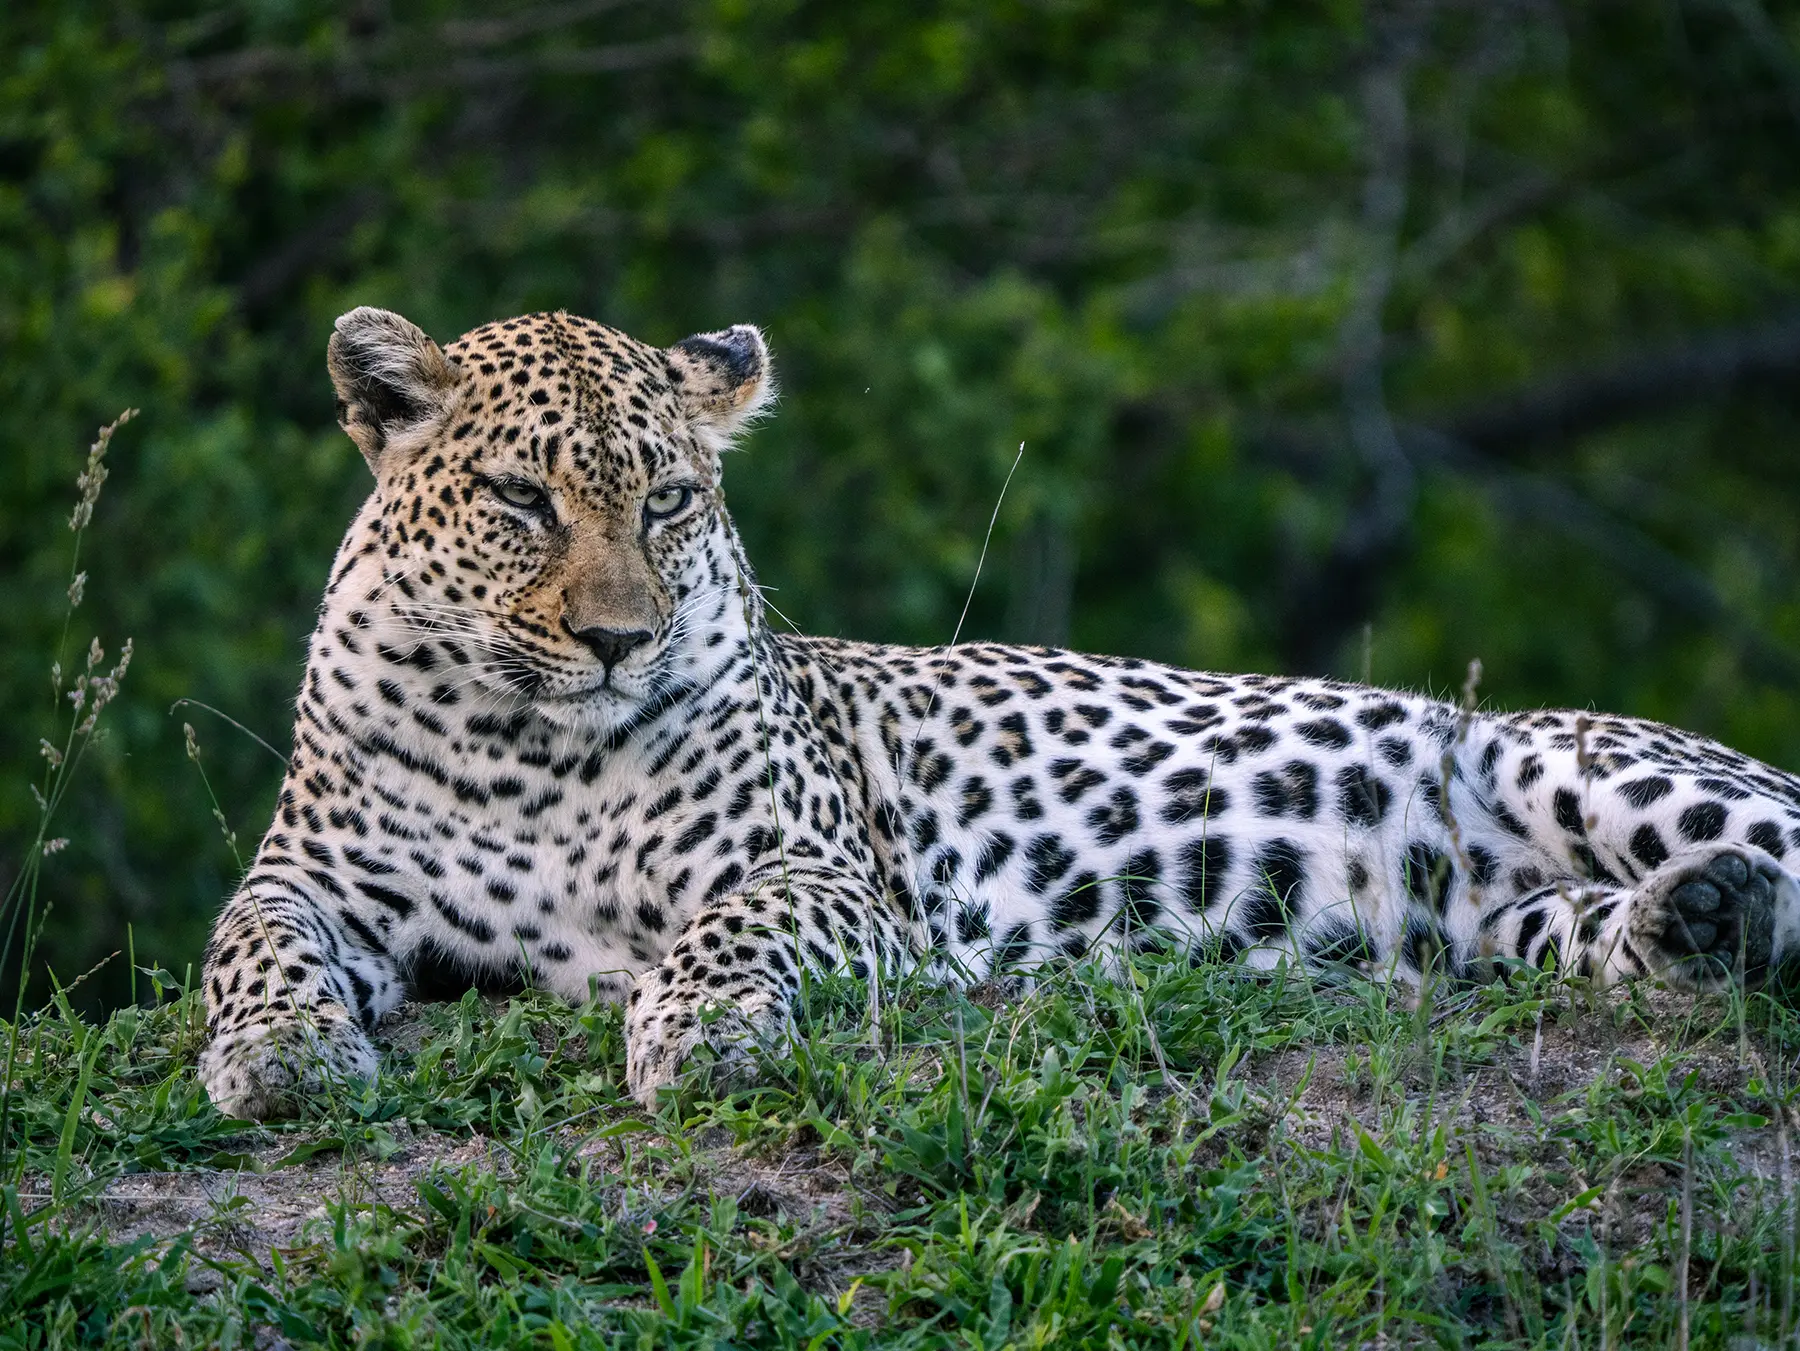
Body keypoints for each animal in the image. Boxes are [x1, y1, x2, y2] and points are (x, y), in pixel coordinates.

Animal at [197, 304, 1800, 1120]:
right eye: (521, 501)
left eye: (667, 501)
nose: (617, 641)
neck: (528, 751)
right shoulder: (308, 877)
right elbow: (247, 946)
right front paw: (281, 1058)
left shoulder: (828, 875)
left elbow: (727, 929)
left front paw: (699, 1032)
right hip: (1509, 927)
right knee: (1639, 933)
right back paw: (1692, 921)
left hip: (1580, 760)